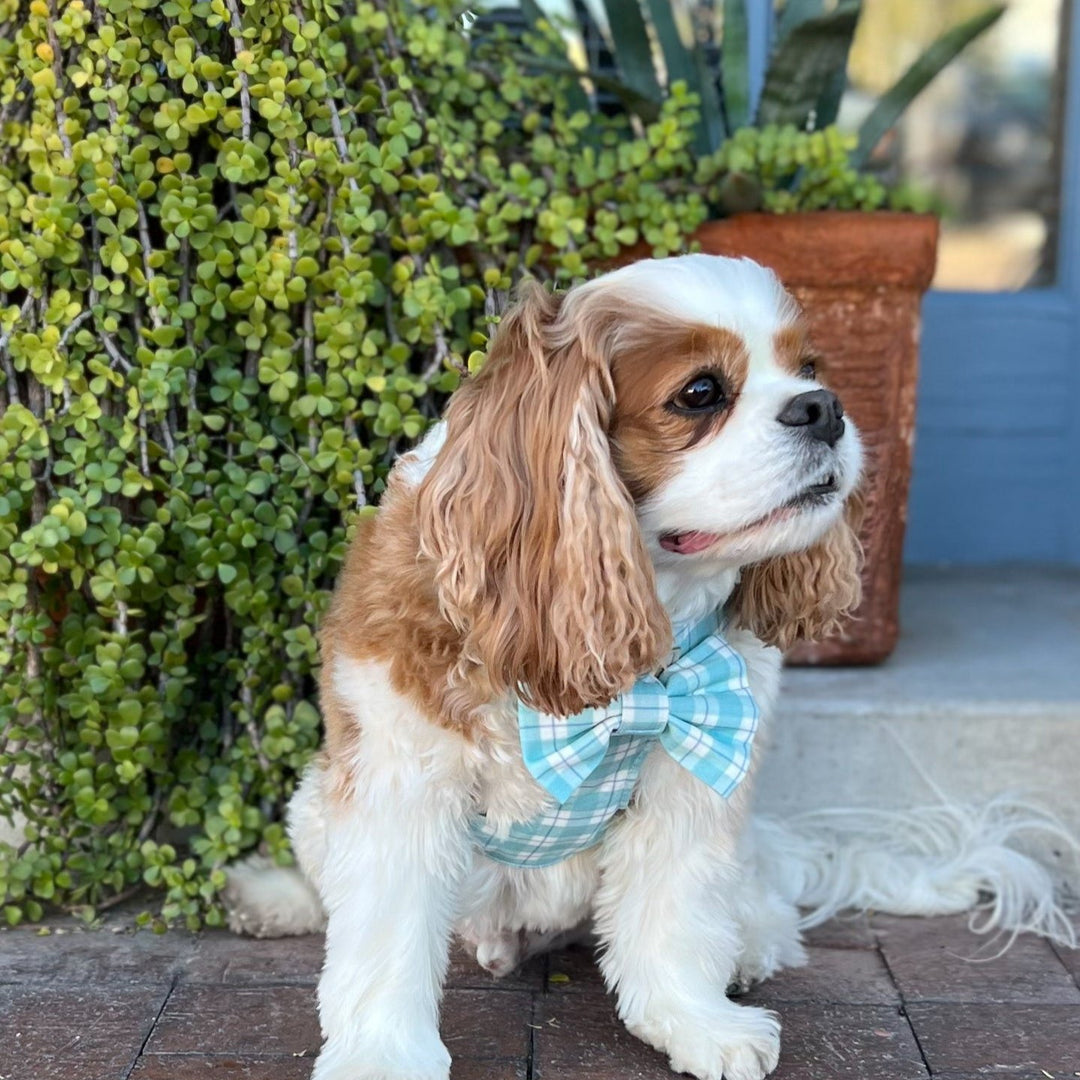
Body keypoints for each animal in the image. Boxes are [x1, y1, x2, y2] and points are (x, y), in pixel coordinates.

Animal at [230, 254, 868, 1080]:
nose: (823, 407)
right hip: (313, 801)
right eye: (700, 393)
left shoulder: (696, 769)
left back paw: (751, 939)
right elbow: (384, 939)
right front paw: (383, 1055)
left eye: (809, 368)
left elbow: (675, 918)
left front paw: (695, 1022)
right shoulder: (400, 781)